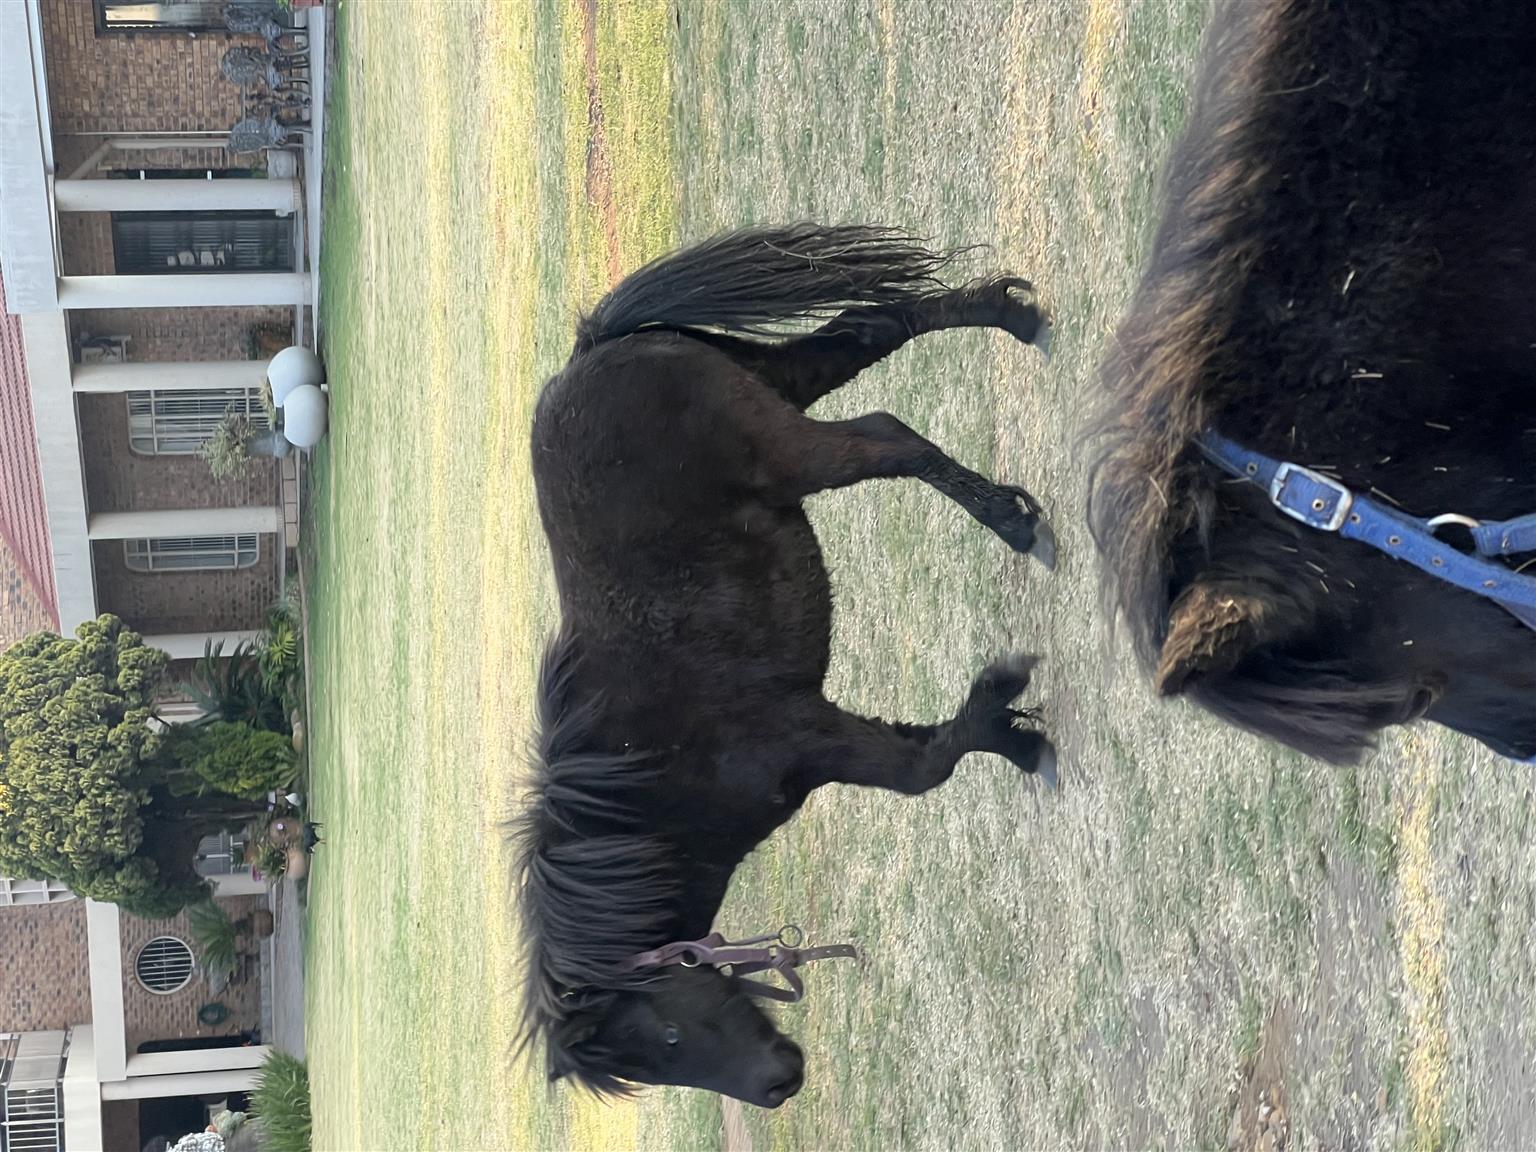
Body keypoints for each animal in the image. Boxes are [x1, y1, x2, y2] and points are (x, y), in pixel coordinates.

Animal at [513, 224, 1058, 1107]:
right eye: (652, 1066)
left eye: (664, 1037)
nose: (780, 1085)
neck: (650, 790)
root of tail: (594, 352)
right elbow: (921, 754)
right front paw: (1012, 728)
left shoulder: (809, 735)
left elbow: (923, 770)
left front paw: (1012, 720)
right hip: (779, 387)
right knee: (873, 329)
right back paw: (1008, 317)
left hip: (785, 444)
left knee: (888, 435)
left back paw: (1011, 521)